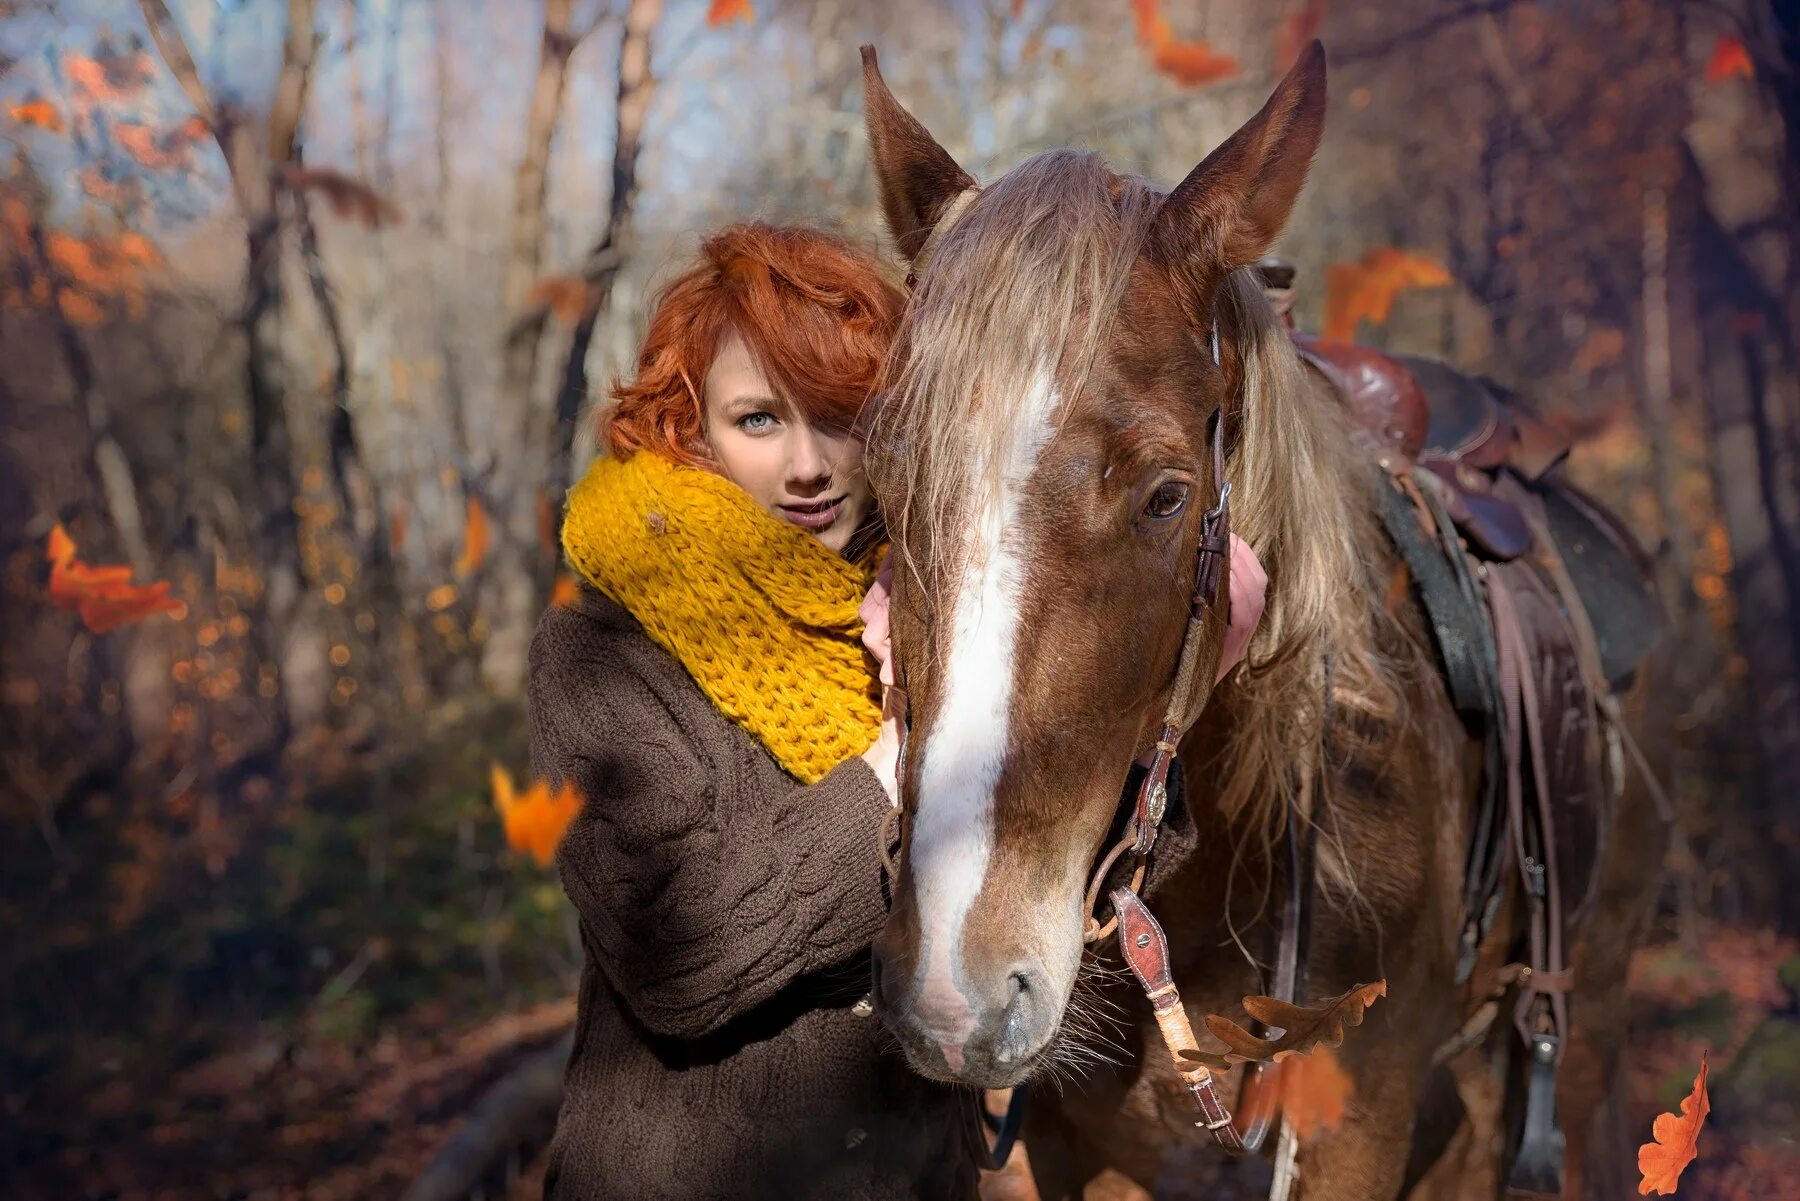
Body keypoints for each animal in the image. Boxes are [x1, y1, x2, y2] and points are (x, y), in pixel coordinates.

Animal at [849, 42, 1663, 1195]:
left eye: (1167, 496)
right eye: (885, 477)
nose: (957, 985)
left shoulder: (1352, 1128)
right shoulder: (1061, 1141)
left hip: (1580, 1025)